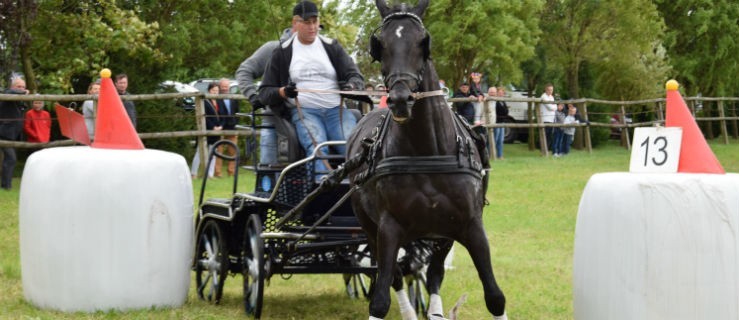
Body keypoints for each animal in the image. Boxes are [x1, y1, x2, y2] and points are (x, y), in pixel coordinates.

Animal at [346, 0, 506, 320]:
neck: (427, 152)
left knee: (433, 275)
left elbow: (494, 296)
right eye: (380, 45)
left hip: (440, 234)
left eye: (423, 41)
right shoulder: (388, 229)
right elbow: (380, 299)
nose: (400, 100)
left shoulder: (470, 225)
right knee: (396, 277)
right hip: (371, 229)